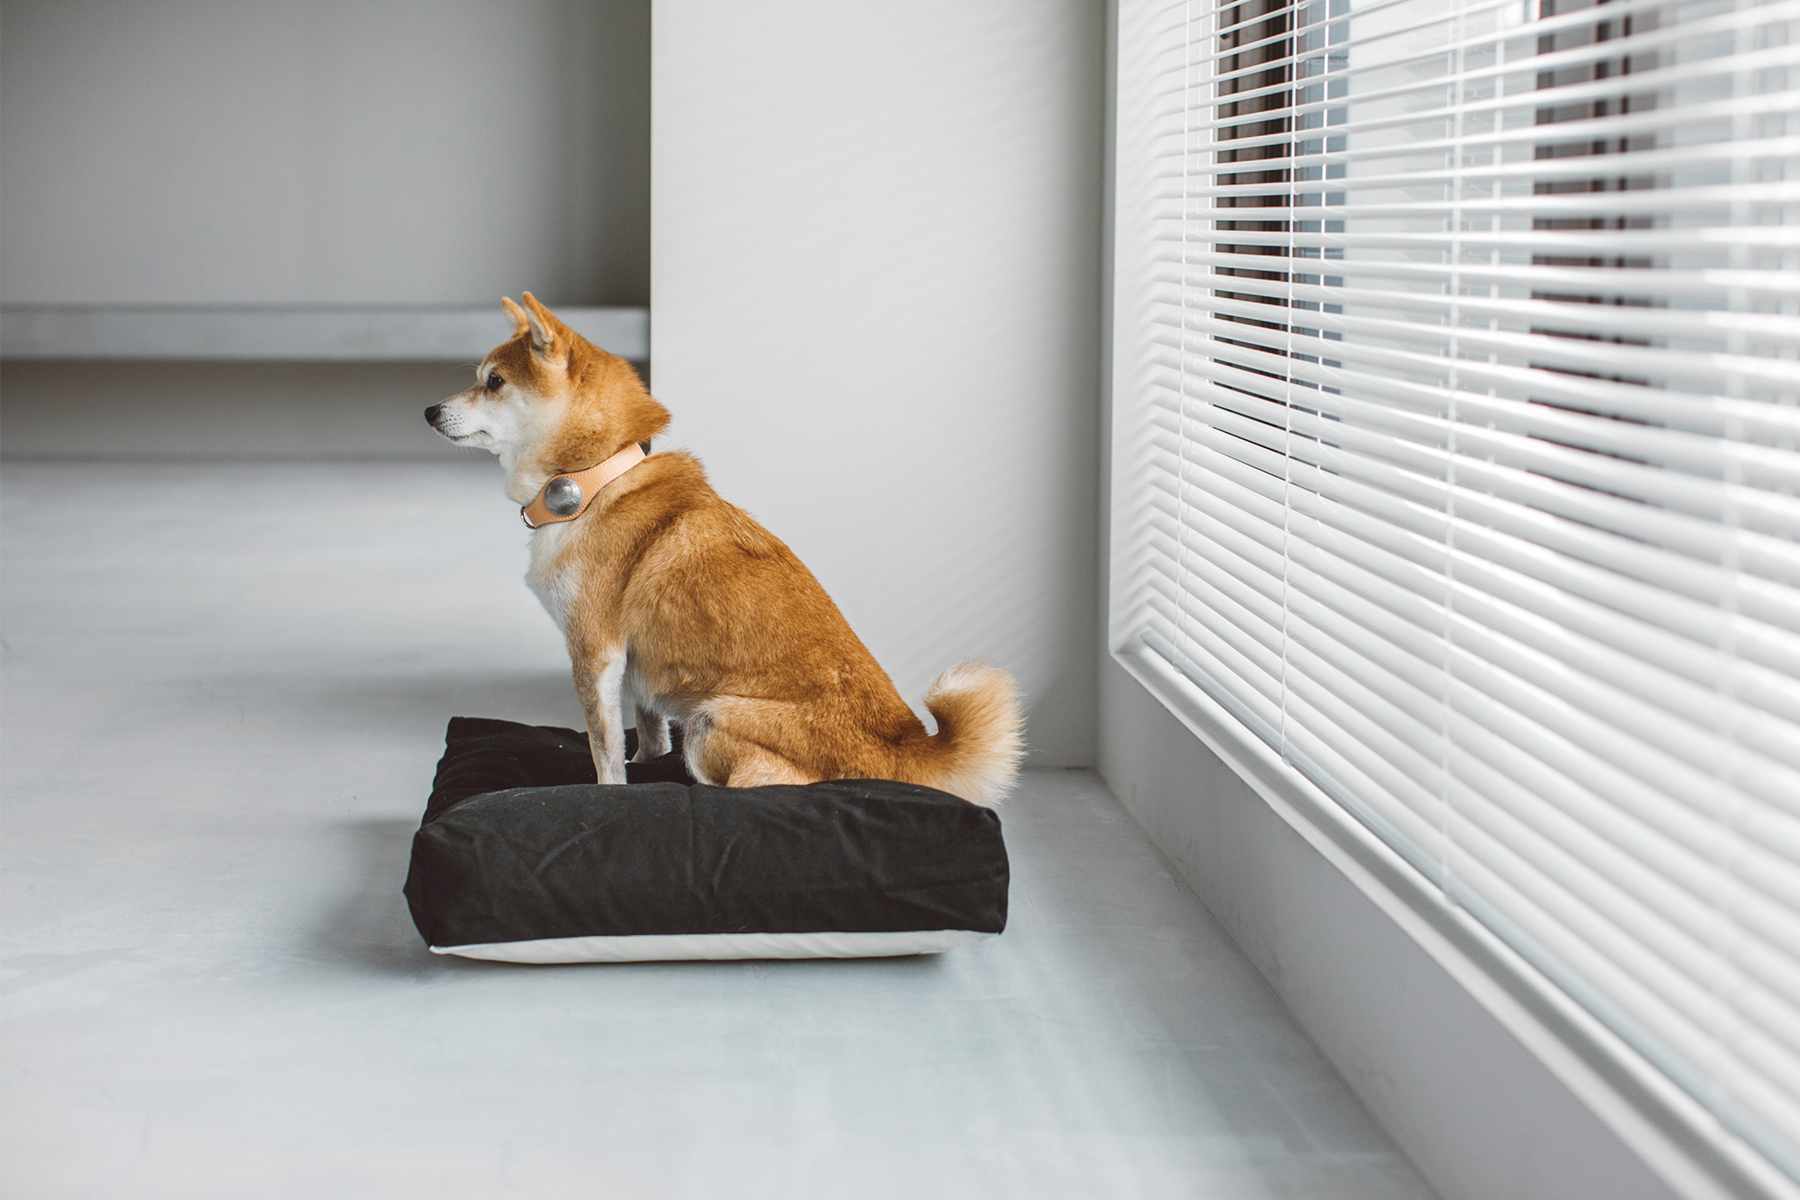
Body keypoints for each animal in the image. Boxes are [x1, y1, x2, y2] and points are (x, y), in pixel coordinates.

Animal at [417, 293, 1015, 805]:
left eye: (494, 381)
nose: (428, 411)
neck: (594, 482)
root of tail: (904, 750)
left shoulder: (593, 652)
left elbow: (603, 752)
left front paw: (609, 792)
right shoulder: (633, 672)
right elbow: (648, 734)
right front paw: (648, 764)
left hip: (710, 719)